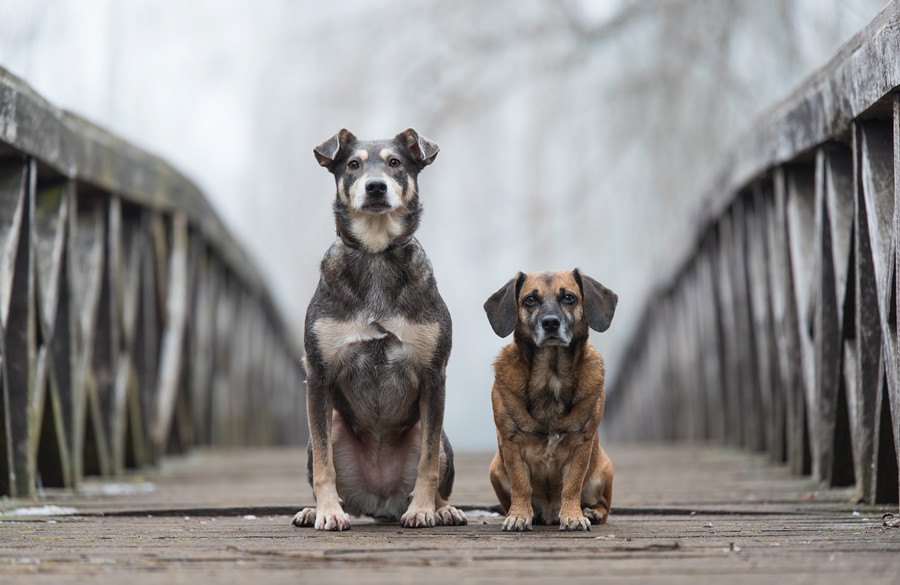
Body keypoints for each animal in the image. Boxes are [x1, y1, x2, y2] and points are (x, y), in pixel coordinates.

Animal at [486, 270, 620, 528]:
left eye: (569, 297)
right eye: (530, 300)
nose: (550, 322)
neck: (551, 374)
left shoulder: (581, 444)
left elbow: (572, 485)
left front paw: (573, 516)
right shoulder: (511, 443)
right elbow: (521, 485)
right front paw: (519, 515)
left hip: (604, 470)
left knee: (603, 506)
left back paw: (591, 512)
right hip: (495, 468)